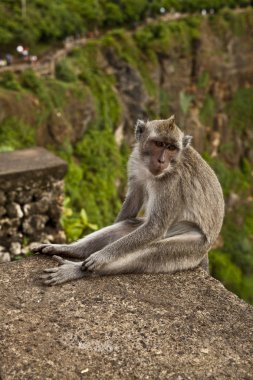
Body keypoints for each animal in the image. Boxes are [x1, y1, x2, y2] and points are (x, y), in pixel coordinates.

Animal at [32, 116, 224, 284]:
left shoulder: (171, 184)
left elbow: (155, 228)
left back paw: (77, 270)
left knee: (153, 251)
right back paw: (71, 250)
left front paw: (101, 256)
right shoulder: (135, 161)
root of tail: (206, 250)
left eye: (171, 148)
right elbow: (132, 203)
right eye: (159, 144)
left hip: (194, 246)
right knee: (126, 227)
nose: (161, 160)